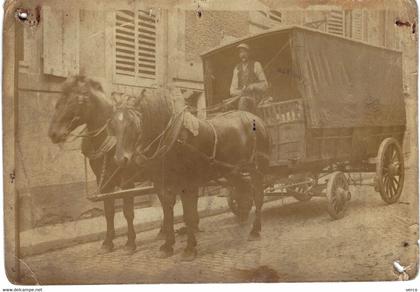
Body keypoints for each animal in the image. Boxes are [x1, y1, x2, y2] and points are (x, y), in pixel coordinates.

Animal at [47, 76, 139, 253]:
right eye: (59, 101)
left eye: (74, 101)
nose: (53, 134)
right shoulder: (103, 182)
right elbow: (109, 212)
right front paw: (108, 242)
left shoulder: (127, 181)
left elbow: (128, 211)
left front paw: (130, 242)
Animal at [108, 88, 270, 260]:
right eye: (112, 125)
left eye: (133, 123)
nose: (120, 159)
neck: (173, 138)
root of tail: (256, 119)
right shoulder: (162, 184)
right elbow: (168, 212)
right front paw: (168, 246)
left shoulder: (188, 184)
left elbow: (189, 215)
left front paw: (189, 249)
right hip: (232, 170)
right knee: (244, 189)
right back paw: (243, 219)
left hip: (257, 169)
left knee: (258, 197)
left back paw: (255, 230)